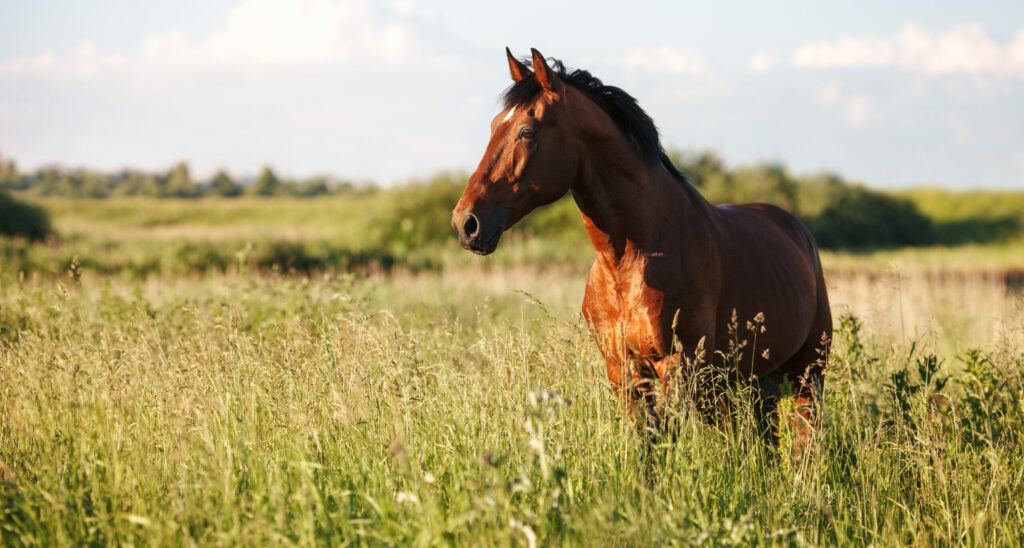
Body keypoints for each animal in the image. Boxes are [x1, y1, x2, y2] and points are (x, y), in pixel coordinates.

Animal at [452, 47, 827, 446]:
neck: (632, 258)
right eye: (495, 125)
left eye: (527, 131)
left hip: (807, 371)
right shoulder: (624, 370)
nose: (466, 223)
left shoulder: (678, 366)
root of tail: (796, 229)